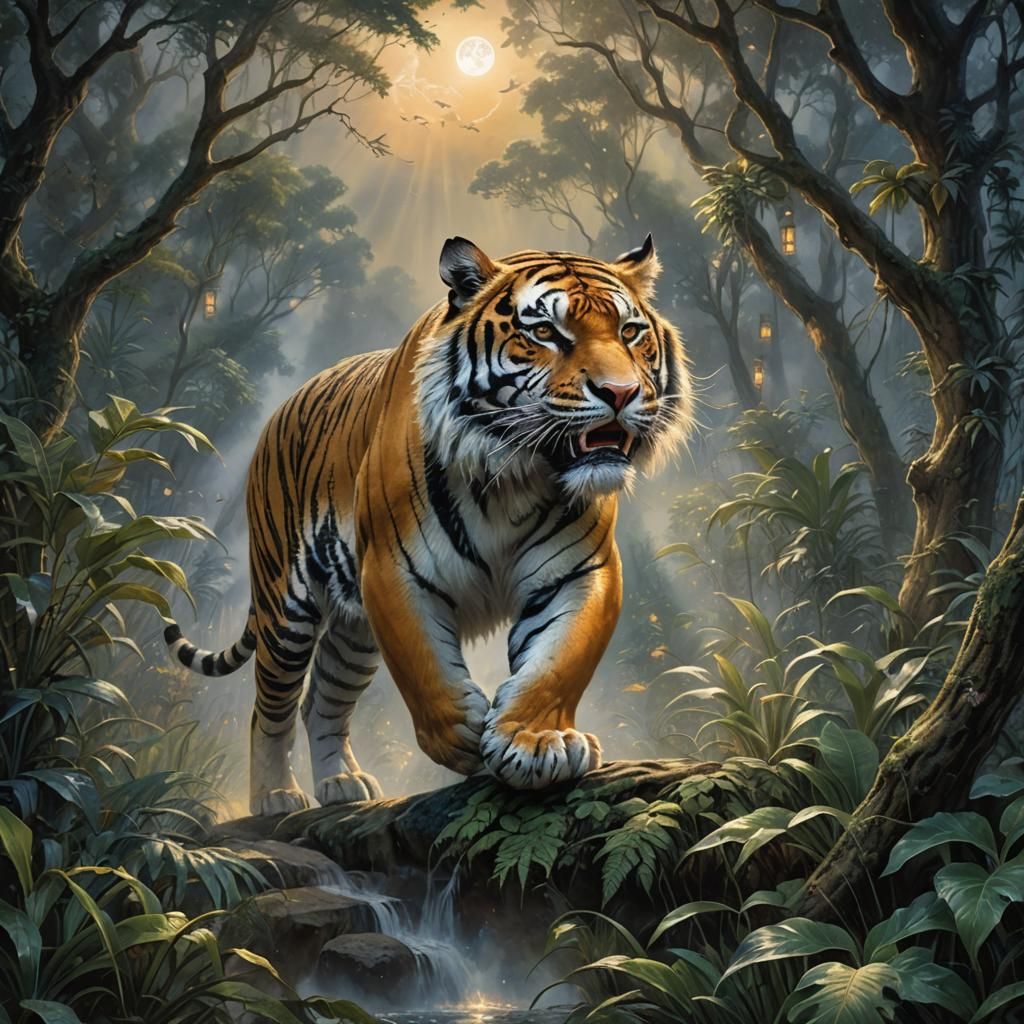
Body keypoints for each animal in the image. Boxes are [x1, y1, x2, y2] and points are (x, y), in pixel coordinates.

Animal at [164, 235, 693, 815]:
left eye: (629, 332)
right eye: (545, 333)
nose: (620, 393)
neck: (513, 475)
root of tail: (284, 407)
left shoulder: (580, 572)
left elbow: (558, 661)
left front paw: (536, 742)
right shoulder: (393, 571)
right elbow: (424, 664)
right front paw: (460, 734)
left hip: (353, 636)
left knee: (321, 700)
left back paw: (341, 785)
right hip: (286, 608)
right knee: (272, 705)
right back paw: (276, 796)